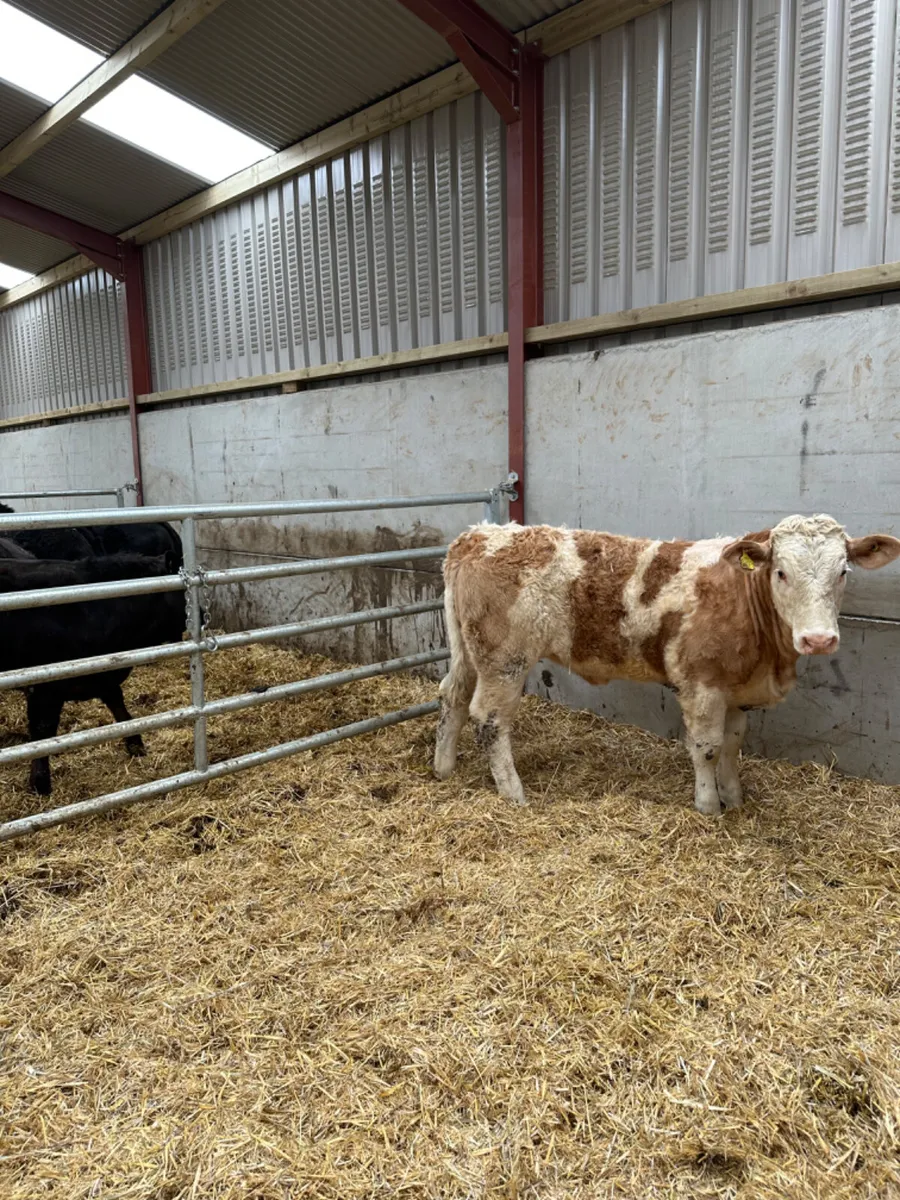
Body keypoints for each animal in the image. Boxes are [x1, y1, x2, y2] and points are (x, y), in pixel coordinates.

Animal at [0, 553, 186, 795]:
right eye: (184, 594)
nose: (203, 616)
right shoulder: (44, 687)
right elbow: (42, 730)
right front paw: (40, 782)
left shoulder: (102, 673)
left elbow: (119, 707)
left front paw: (135, 744)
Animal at [433, 515, 900, 815]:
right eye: (781, 572)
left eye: (843, 572)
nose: (818, 639)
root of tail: (479, 535)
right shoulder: (701, 684)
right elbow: (707, 747)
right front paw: (708, 806)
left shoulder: (735, 688)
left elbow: (733, 744)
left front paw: (734, 797)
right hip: (504, 658)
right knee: (489, 719)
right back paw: (513, 793)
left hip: (469, 651)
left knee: (451, 696)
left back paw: (444, 768)